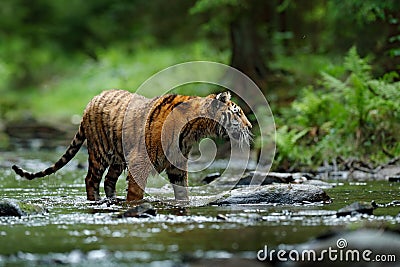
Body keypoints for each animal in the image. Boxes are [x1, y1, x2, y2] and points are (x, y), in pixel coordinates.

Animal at [12, 89, 252, 202]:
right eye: (238, 113)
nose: (250, 127)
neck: (195, 129)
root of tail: (91, 100)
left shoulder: (177, 166)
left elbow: (182, 192)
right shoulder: (140, 161)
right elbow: (136, 192)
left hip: (118, 159)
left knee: (109, 180)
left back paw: (112, 199)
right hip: (99, 152)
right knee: (91, 179)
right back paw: (96, 201)